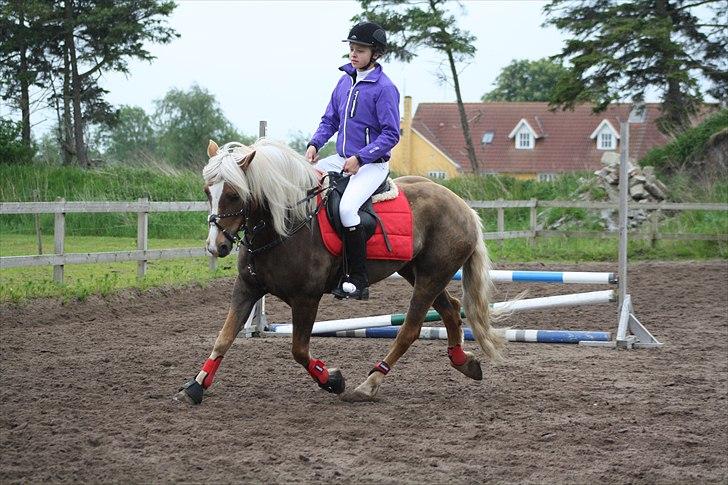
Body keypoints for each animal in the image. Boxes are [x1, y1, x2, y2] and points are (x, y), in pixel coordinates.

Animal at [176, 138, 504, 402]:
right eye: (208, 191)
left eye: (234, 194)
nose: (216, 246)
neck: (283, 226)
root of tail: (464, 207)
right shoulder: (247, 288)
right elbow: (224, 337)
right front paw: (196, 386)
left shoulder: (306, 298)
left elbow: (299, 350)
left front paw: (332, 380)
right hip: (418, 273)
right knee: (451, 308)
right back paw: (464, 362)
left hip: (430, 278)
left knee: (409, 330)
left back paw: (368, 385)